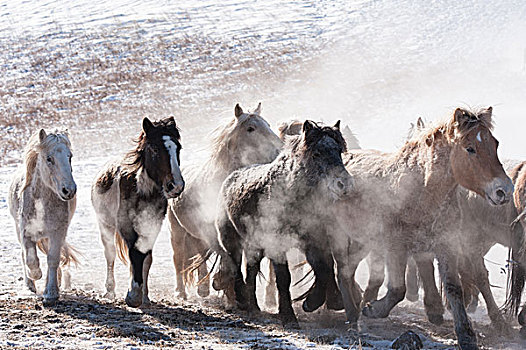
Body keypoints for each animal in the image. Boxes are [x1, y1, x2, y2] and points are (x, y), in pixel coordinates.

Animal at [8, 130, 78, 304]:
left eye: (70, 156)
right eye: (49, 158)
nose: (69, 190)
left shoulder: (57, 232)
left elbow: (53, 258)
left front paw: (51, 293)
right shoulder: (25, 232)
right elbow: (30, 258)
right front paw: (35, 275)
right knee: (23, 255)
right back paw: (30, 285)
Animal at [93, 115, 186, 306]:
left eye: (178, 148)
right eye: (155, 149)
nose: (176, 186)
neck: (142, 192)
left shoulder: (152, 225)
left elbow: (145, 257)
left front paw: (142, 295)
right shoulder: (125, 225)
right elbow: (135, 254)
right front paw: (133, 295)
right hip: (105, 225)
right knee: (110, 254)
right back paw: (109, 291)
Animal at [169, 102, 284, 300]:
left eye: (268, 125)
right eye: (250, 128)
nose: (279, 151)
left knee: (200, 254)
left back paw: (203, 289)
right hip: (176, 230)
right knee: (178, 259)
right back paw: (180, 292)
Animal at [334, 107, 516, 350]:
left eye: (494, 144)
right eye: (470, 148)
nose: (504, 190)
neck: (421, 190)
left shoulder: (446, 245)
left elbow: (453, 288)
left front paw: (466, 336)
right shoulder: (396, 246)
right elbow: (397, 289)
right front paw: (373, 309)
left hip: (362, 241)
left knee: (347, 270)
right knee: (343, 271)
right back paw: (354, 315)